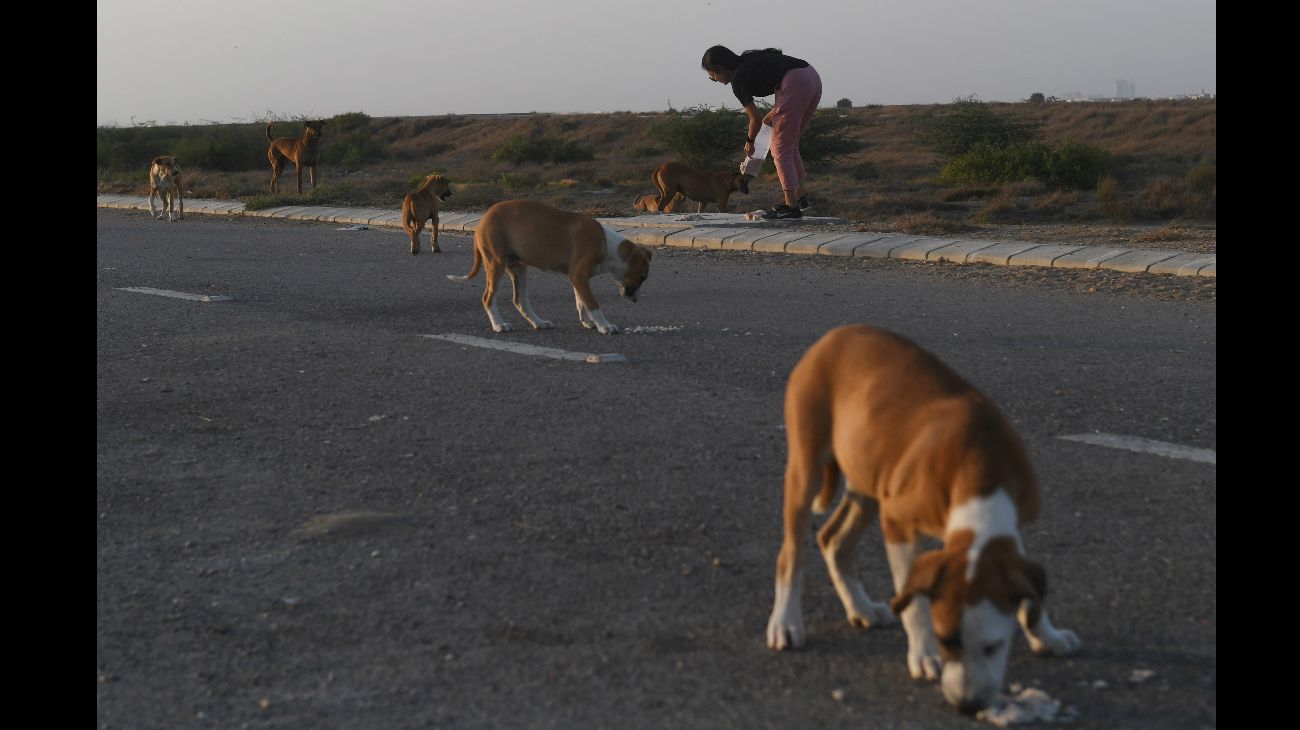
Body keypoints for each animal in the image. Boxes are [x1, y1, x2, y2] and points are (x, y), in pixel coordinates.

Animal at [449, 198, 655, 335]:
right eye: (643, 277)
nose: (635, 300)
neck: (607, 245)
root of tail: (482, 221)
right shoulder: (579, 276)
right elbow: (592, 303)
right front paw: (604, 325)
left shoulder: (577, 278)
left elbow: (581, 302)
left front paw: (587, 322)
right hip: (496, 263)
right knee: (488, 298)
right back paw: (499, 325)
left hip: (518, 268)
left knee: (520, 300)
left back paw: (539, 323)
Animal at [764, 323, 1081, 711]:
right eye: (946, 641)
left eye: (993, 647)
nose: (967, 704)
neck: (981, 468)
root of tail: (837, 334)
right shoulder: (898, 523)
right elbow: (913, 602)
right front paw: (924, 655)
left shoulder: (1011, 530)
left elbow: (1028, 595)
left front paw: (1047, 635)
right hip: (806, 470)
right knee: (792, 553)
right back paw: (786, 622)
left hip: (872, 478)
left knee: (834, 540)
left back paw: (861, 608)